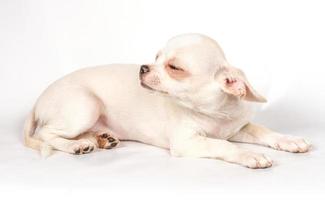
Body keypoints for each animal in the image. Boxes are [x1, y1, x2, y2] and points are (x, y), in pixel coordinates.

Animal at [24, 33, 308, 168]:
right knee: (46, 134)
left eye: (174, 67)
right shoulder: (188, 142)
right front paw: (249, 155)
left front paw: (289, 140)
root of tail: (37, 101)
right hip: (86, 106)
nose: (143, 68)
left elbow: (264, 131)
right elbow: (223, 145)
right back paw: (76, 146)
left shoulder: (238, 128)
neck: (212, 112)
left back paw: (100, 139)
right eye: (156, 57)